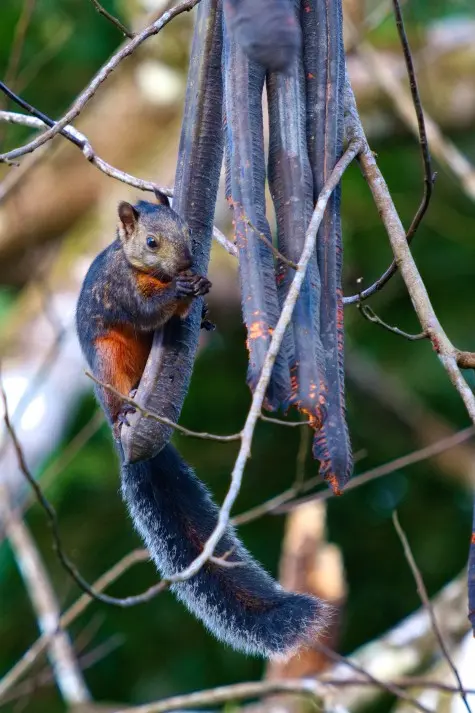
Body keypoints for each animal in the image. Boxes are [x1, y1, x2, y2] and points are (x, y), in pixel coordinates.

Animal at [76, 191, 328, 659]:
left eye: (186, 231)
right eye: (151, 242)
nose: (186, 263)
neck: (148, 271)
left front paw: (203, 297)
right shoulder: (120, 288)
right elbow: (145, 311)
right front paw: (181, 290)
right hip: (107, 361)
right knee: (117, 392)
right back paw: (126, 408)